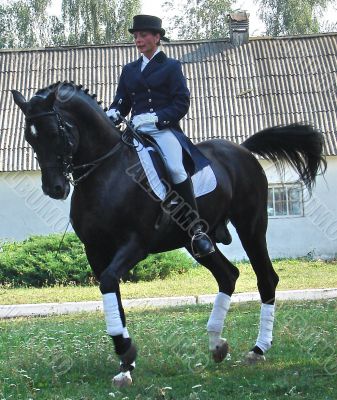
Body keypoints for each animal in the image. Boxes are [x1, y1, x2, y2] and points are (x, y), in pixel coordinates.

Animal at [11, 83, 324, 386]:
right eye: (30, 138)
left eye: (55, 132)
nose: (54, 188)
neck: (108, 171)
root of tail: (241, 150)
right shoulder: (95, 250)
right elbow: (111, 292)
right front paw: (126, 362)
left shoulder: (135, 245)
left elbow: (110, 283)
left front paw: (127, 355)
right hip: (195, 242)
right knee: (228, 275)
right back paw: (217, 344)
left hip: (251, 226)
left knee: (266, 279)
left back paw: (258, 350)